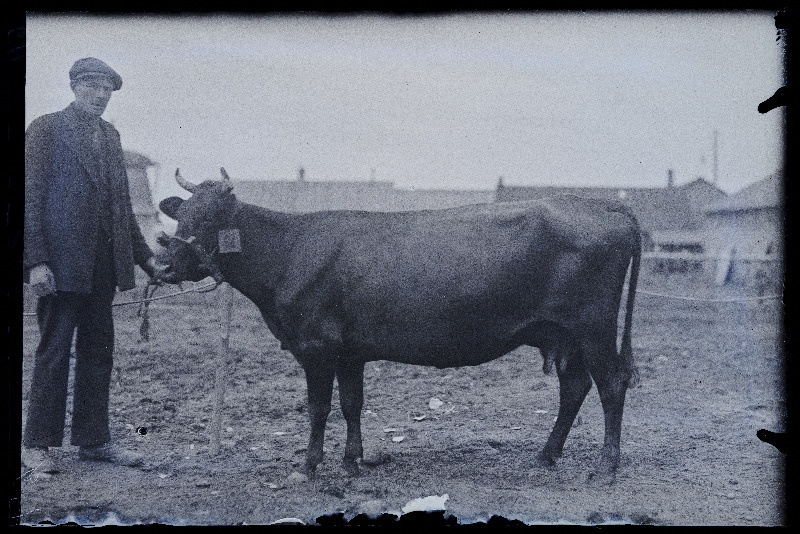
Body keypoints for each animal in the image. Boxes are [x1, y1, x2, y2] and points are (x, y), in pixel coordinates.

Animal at [155, 170, 644, 488]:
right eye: (182, 215)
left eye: (211, 218)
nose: (166, 264)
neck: (289, 251)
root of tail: (606, 204)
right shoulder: (349, 350)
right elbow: (352, 405)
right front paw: (352, 462)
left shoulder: (316, 347)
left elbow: (319, 409)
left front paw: (308, 467)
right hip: (565, 334)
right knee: (574, 386)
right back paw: (545, 455)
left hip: (593, 327)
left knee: (611, 383)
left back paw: (606, 466)